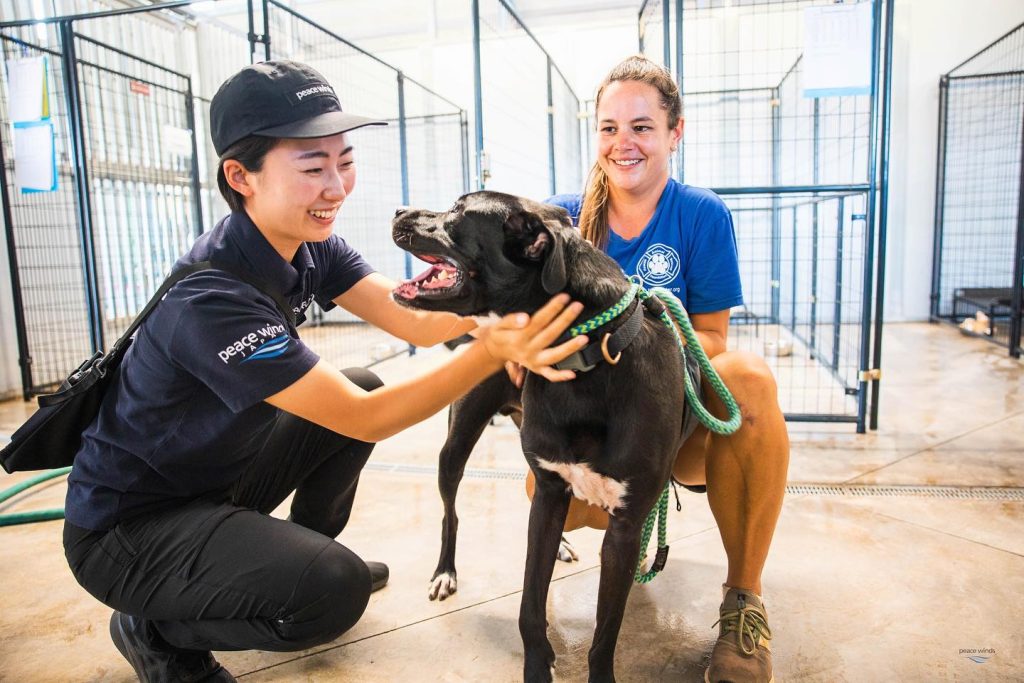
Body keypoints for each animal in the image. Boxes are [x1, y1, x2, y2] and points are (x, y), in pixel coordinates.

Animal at [391, 189, 688, 679]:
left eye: (457, 210)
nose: (399, 210)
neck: (586, 360)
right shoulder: (549, 492)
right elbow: (529, 606)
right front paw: (537, 665)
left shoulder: (624, 526)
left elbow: (605, 633)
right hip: (455, 447)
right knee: (451, 514)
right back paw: (444, 572)